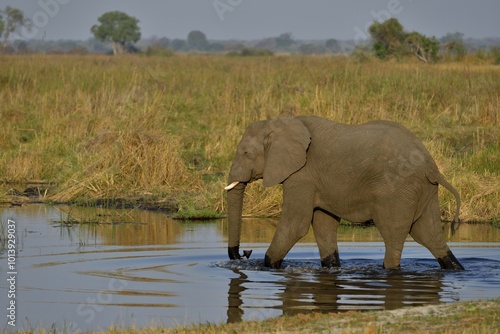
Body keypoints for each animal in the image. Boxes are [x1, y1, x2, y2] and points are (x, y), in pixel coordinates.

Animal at [225, 116, 462, 270]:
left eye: (246, 153)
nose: (244, 254)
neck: (281, 123)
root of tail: (431, 167)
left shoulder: (302, 175)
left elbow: (295, 224)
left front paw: (266, 266)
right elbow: (323, 222)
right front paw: (331, 267)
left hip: (397, 191)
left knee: (393, 234)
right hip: (424, 191)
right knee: (429, 234)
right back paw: (455, 268)